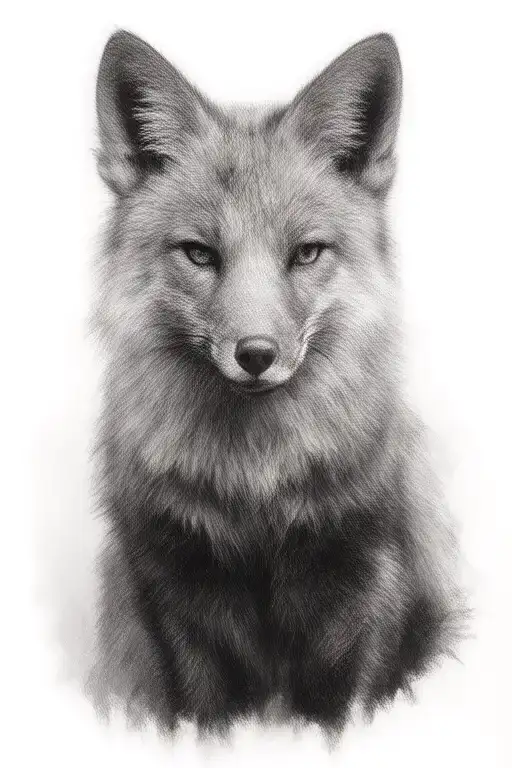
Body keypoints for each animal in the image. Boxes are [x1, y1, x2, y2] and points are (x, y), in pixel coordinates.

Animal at [89, 29, 465, 736]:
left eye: (306, 253)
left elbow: (344, 718)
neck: (255, 497)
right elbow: (202, 720)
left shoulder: (370, 598)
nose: (256, 354)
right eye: (200, 254)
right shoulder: (176, 608)